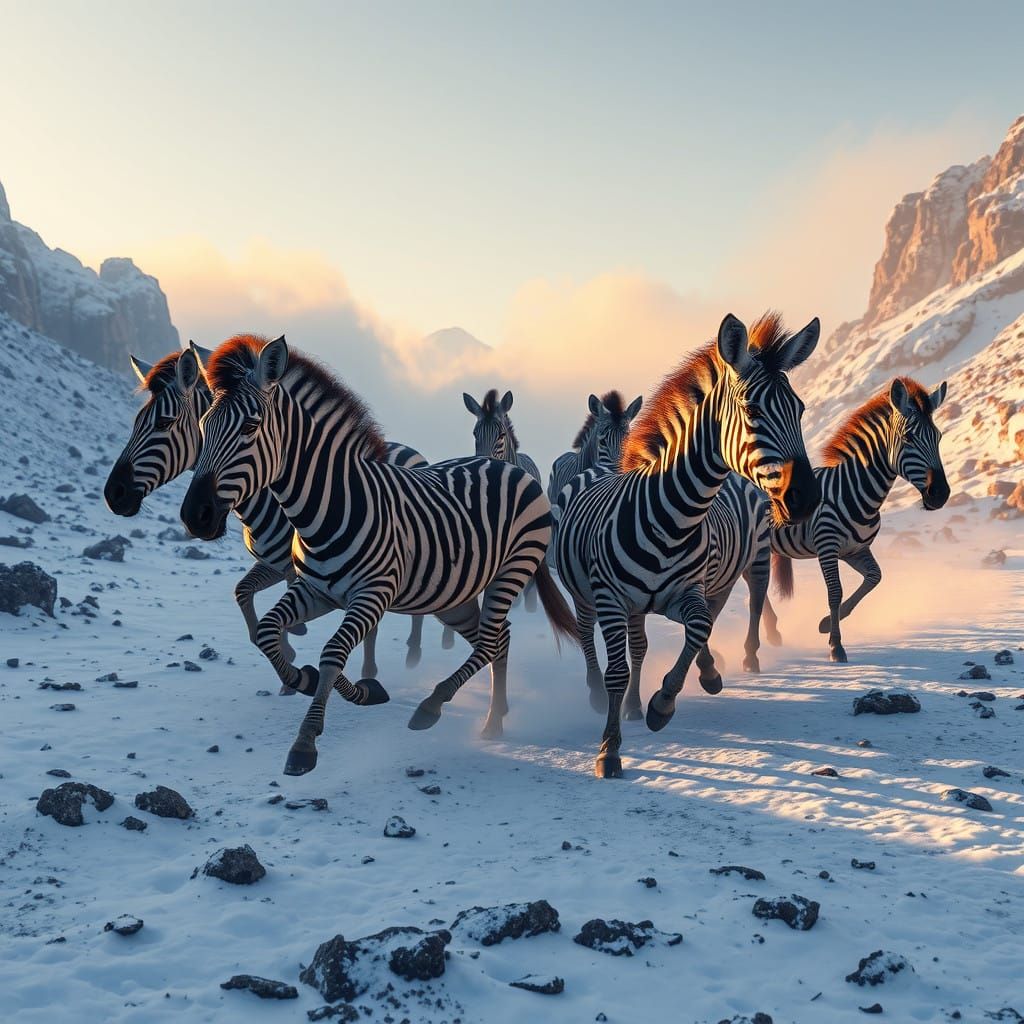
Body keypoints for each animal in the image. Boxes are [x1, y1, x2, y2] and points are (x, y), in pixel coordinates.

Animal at [104, 345, 431, 677]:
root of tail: (411, 450)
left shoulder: (295, 570)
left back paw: (413, 653)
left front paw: (293, 650)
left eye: (163, 423)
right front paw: (289, 651)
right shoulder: (273, 563)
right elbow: (243, 592)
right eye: (135, 423)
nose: (113, 494)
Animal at [179, 334, 577, 776]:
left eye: (250, 427)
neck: (328, 505)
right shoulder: (315, 590)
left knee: (491, 641)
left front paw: (305, 741)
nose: (194, 515)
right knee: (498, 639)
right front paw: (317, 681)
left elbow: (333, 652)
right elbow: (268, 631)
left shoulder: (373, 595)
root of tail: (510, 468)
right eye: (203, 426)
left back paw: (438, 707)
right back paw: (495, 716)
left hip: (511, 570)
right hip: (452, 595)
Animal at [554, 312, 820, 778]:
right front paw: (609, 750)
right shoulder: (610, 599)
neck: (673, 518)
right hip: (587, 594)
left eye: (800, 409)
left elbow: (699, 627)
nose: (805, 498)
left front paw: (665, 703)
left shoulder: (688, 591)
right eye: (752, 411)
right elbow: (617, 670)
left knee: (659, 638)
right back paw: (596, 694)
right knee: (589, 638)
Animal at [768, 376, 949, 663]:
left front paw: (826, 623)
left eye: (939, 437)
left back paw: (771, 631)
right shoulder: (827, 547)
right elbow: (835, 592)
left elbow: (874, 578)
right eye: (908, 438)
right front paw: (836, 645)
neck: (855, 491)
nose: (941, 494)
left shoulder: (855, 550)